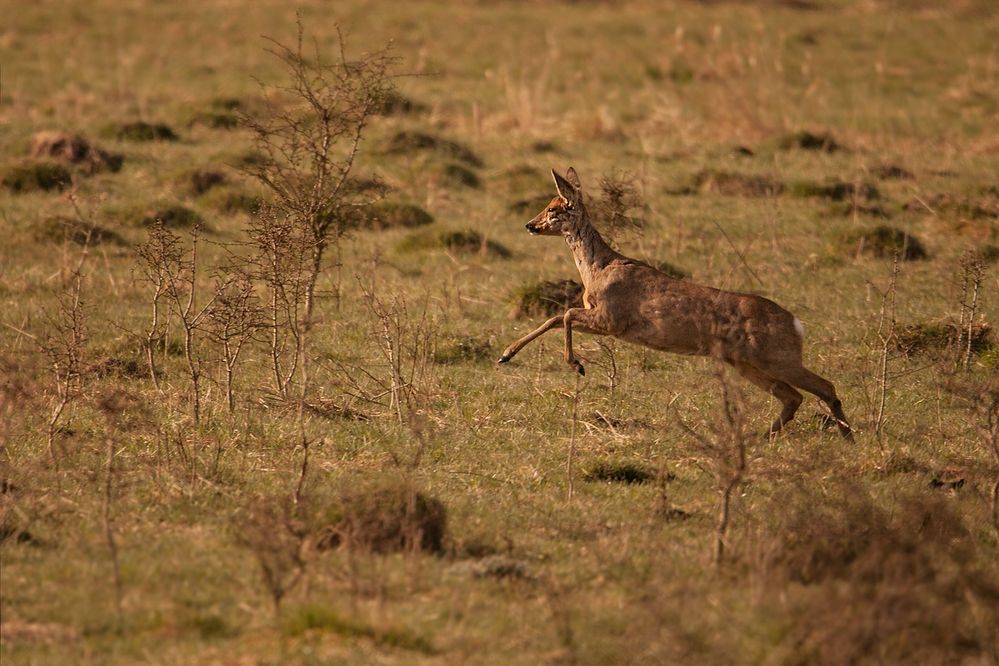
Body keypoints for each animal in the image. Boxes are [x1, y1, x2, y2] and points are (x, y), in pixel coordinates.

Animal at [496, 166, 856, 438]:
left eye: (553, 207)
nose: (530, 225)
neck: (597, 269)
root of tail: (796, 324)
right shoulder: (604, 320)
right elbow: (557, 318)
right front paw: (506, 354)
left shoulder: (612, 319)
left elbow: (565, 314)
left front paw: (576, 365)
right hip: (745, 362)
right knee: (792, 397)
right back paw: (761, 438)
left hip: (775, 356)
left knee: (823, 386)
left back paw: (846, 435)